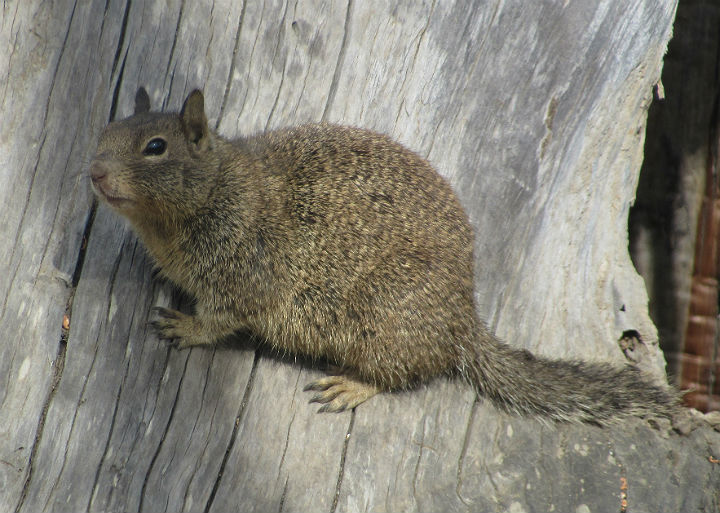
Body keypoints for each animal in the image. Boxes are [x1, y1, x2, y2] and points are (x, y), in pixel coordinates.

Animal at [87, 89, 676, 424]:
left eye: (156, 147)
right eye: (105, 130)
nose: (93, 172)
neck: (215, 191)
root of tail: (462, 323)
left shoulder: (248, 274)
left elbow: (220, 320)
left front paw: (184, 326)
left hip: (383, 314)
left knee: (400, 374)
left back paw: (349, 386)